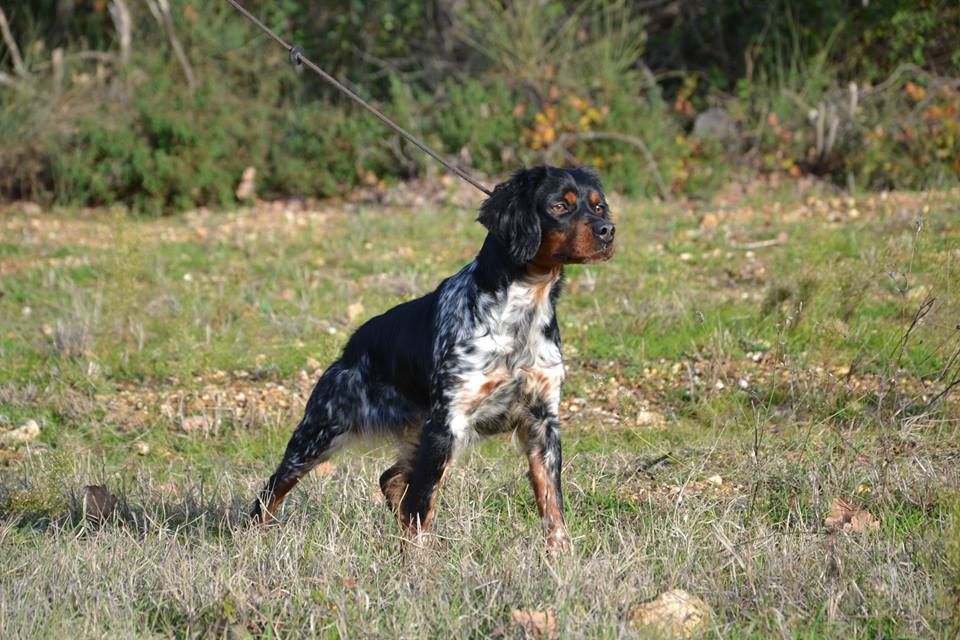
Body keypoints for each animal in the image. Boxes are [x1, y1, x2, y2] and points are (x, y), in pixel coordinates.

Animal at [251, 166, 616, 552]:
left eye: (598, 206)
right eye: (560, 205)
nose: (608, 230)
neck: (523, 312)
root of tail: (352, 346)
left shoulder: (542, 421)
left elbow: (552, 507)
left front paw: (561, 556)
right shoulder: (447, 422)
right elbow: (421, 507)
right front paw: (416, 564)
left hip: (417, 437)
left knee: (390, 479)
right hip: (320, 432)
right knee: (270, 492)